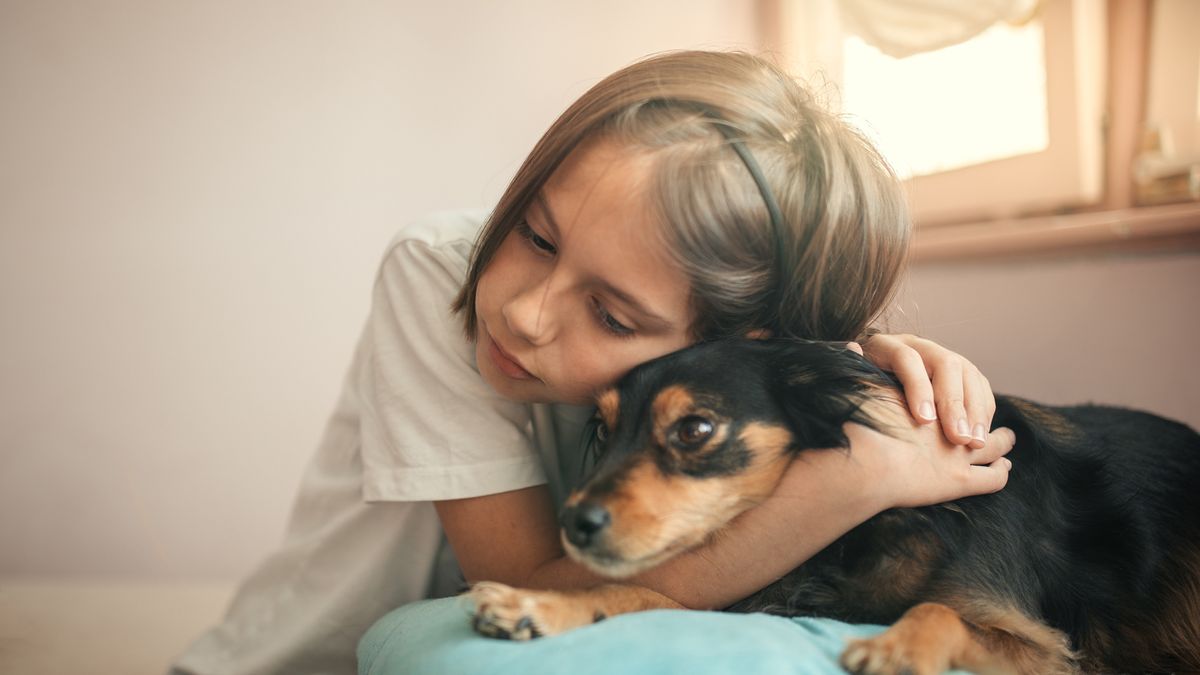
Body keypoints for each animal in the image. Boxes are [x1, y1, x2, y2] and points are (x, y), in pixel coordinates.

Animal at [470, 338, 1200, 667]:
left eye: (695, 429)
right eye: (607, 429)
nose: (573, 523)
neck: (853, 534)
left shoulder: (1042, 649)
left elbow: (938, 608)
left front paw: (899, 648)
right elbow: (643, 593)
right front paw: (540, 604)